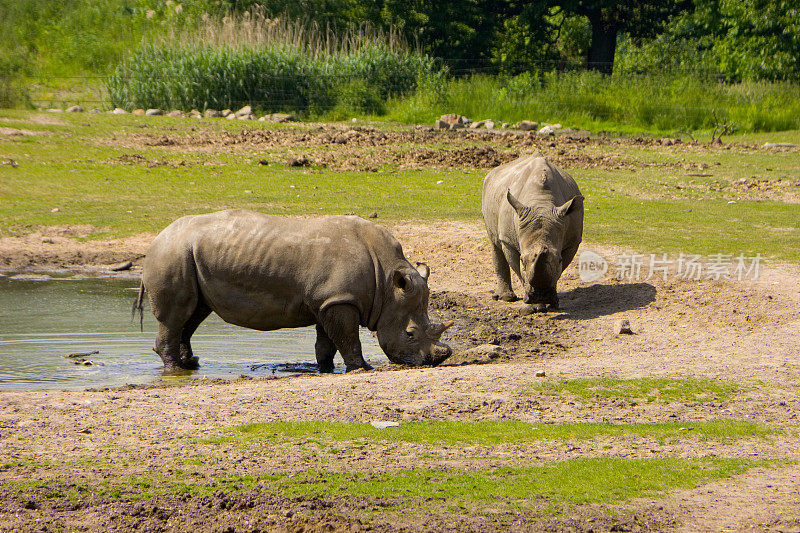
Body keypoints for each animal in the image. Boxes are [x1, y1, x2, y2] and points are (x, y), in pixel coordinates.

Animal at [134, 208, 454, 370]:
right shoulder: (339, 300)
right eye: (410, 334)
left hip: (187, 256)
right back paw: (176, 369)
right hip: (172, 254)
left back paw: (191, 363)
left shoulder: (330, 299)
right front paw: (362, 368)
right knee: (177, 316)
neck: (387, 281)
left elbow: (328, 341)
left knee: (194, 313)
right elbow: (349, 339)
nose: (432, 362)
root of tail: (156, 239)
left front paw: (326, 368)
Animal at [478, 154, 584, 310]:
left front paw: (552, 304)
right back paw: (505, 298)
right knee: (495, 243)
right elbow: (520, 272)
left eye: (559, 259)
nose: (541, 295)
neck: (542, 202)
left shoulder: (573, 241)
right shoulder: (509, 241)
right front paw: (534, 307)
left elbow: (558, 270)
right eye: (522, 260)